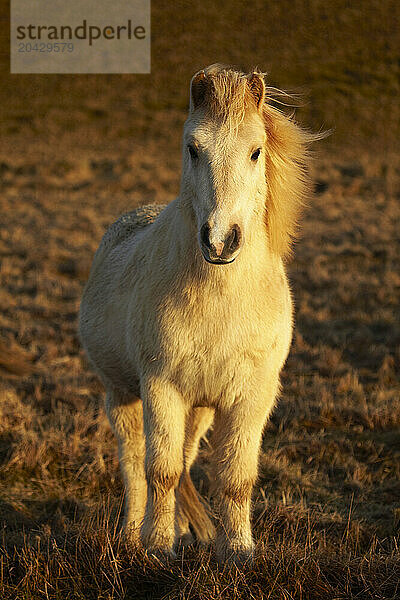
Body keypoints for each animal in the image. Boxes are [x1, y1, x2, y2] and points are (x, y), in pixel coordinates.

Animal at [79, 63, 320, 564]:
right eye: (193, 148)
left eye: (256, 151)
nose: (220, 240)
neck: (222, 301)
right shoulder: (161, 388)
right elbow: (161, 471)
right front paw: (157, 545)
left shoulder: (251, 397)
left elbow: (235, 476)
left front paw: (238, 548)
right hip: (122, 395)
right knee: (134, 462)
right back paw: (132, 534)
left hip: (202, 408)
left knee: (187, 460)